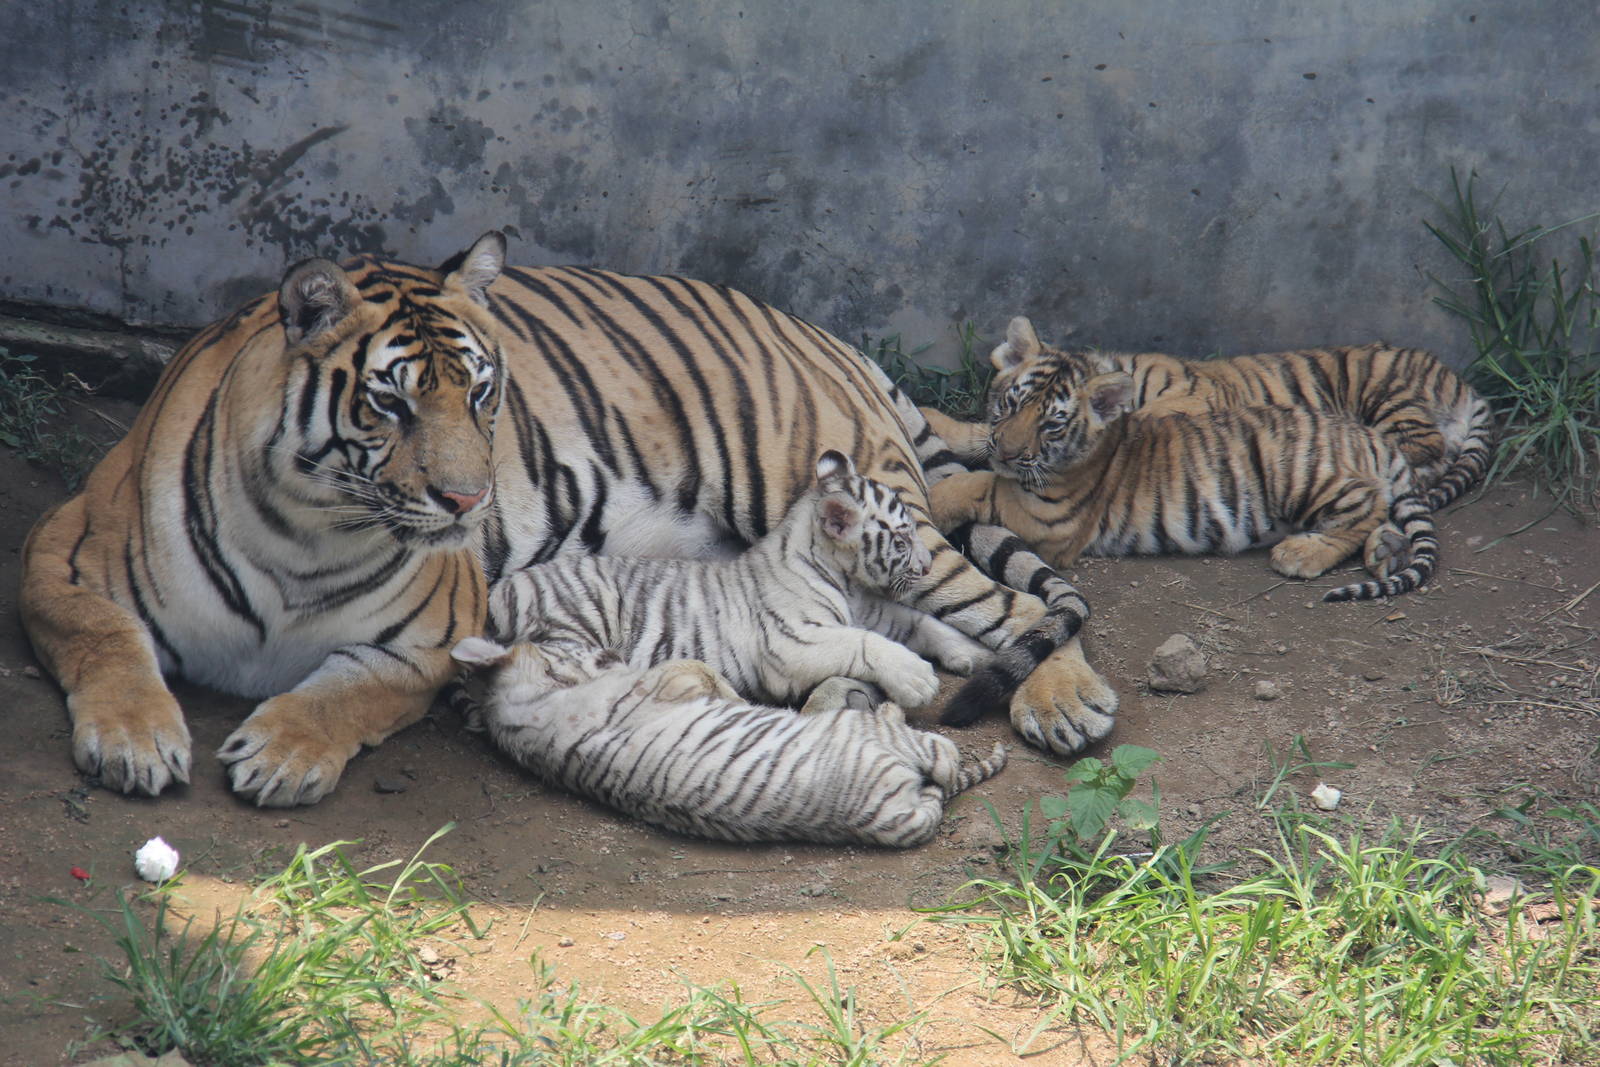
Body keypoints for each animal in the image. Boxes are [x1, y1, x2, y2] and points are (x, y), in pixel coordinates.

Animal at [448, 636, 1008, 847]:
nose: (609, 648)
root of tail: (896, 816)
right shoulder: (667, 683)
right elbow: (698, 668)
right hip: (889, 741)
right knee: (943, 755)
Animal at [488, 448, 992, 709]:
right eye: (903, 539)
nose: (926, 565)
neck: (846, 581)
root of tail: (499, 589)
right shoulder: (791, 642)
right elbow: (864, 644)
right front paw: (917, 679)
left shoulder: (874, 610)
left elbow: (921, 622)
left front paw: (973, 652)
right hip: (575, 625)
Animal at [927, 373, 1441, 724]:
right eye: (1009, 403)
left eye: (1051, 424)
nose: (1009, 451)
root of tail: (1369, 435)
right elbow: (977, 437)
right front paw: (940, 422)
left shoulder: (1048, 516)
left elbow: (983, 483)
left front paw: (934, 498)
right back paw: (1386, 551)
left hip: (1300, 475)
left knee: (1367, 503)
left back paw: (1302, 554)